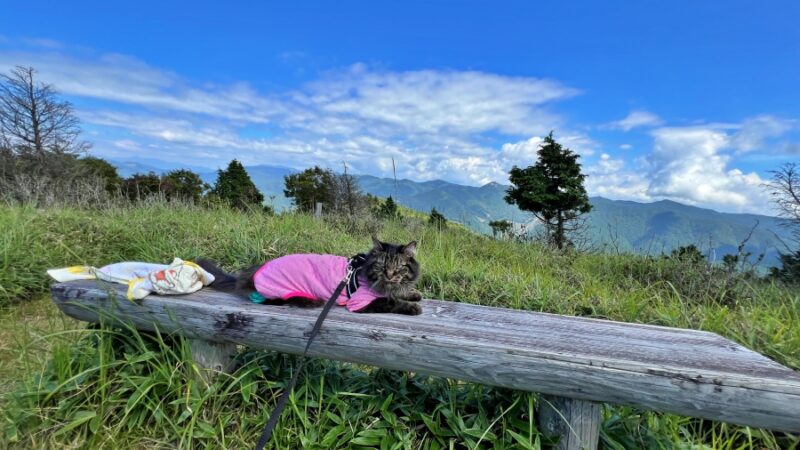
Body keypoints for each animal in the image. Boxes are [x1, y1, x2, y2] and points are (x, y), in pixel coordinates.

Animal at [197, 237, 422, 314]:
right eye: (383, 266)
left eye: (399, 267)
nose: (390, 275)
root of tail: (252, 273)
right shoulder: (361, 303)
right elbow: (389, 301)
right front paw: (412, 307)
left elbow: (400, 293)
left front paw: (413, 294)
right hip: (281, 291)